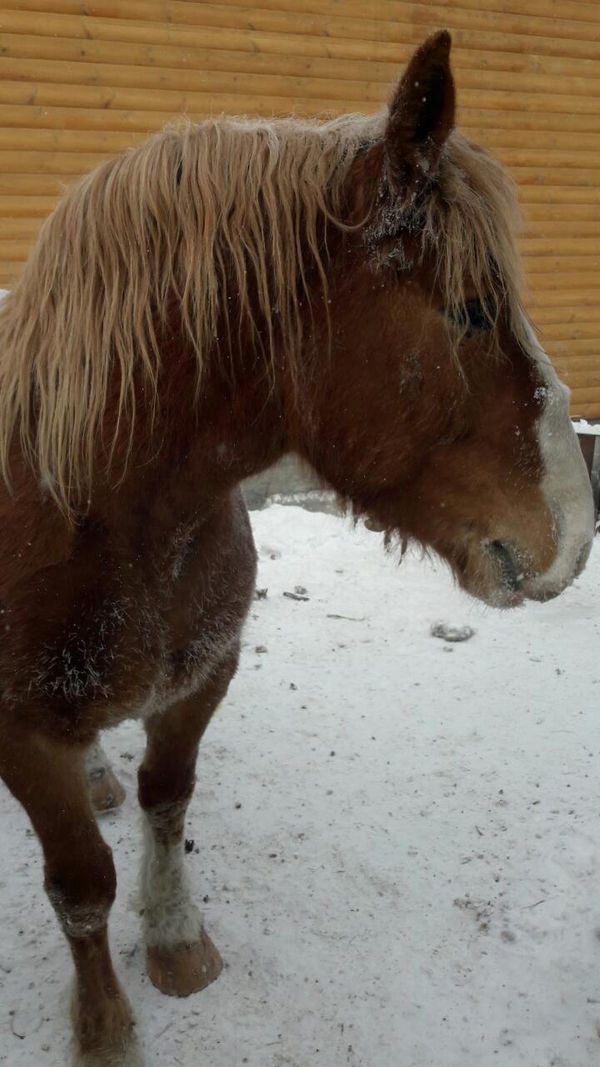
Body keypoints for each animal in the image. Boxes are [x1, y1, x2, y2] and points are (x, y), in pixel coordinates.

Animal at [0, 31, 593, 1067]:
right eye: (472, 308)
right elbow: (80, 884)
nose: (577, 530)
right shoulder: (19, 734)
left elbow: (167, 798)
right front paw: (105, 1026)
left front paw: (176, 940)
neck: (109, 523)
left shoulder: (204, 677)